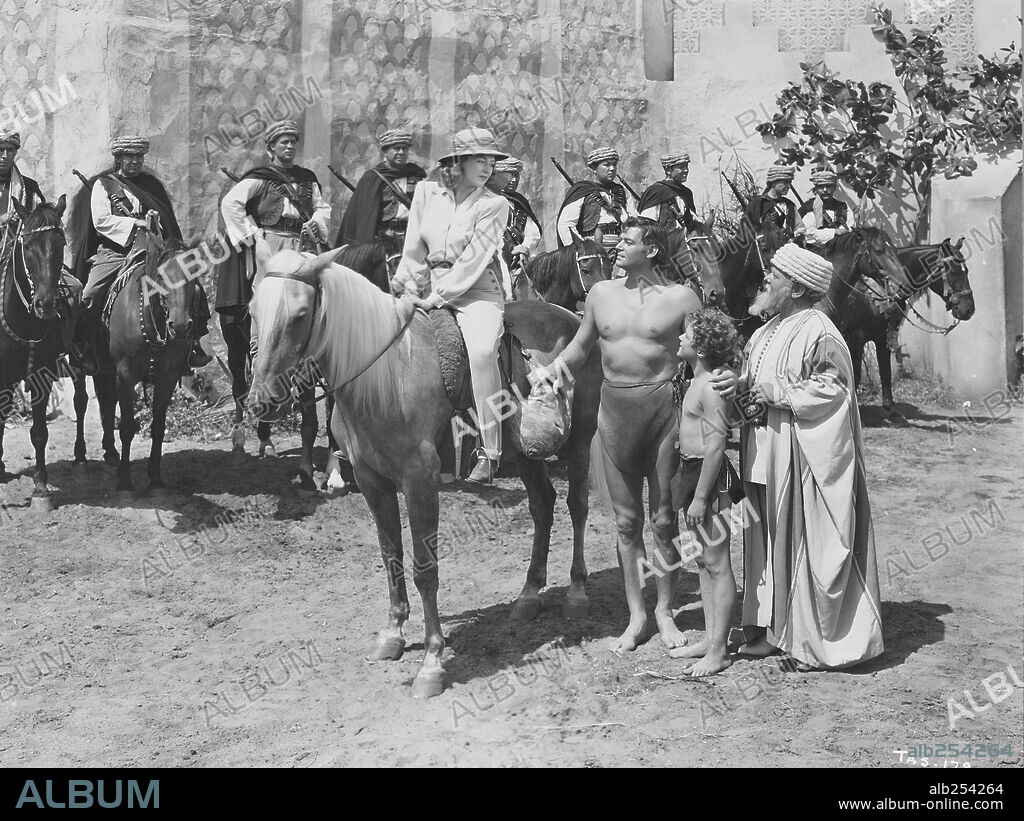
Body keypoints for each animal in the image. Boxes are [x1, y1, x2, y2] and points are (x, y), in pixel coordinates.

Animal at [246, 247, 602, 692]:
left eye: (298, 315)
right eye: (252, 309)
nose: (261, 401)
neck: (386, 379)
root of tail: (571, 316)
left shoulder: (420, 483)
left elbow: (424, 568)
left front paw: (432, 662)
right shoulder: (372, 483)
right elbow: (391, 556)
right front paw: (393, 635)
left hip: (580, 442)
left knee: (577, 505)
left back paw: (577, 593)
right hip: (524, 454)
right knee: (543, 505)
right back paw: (529, 595)